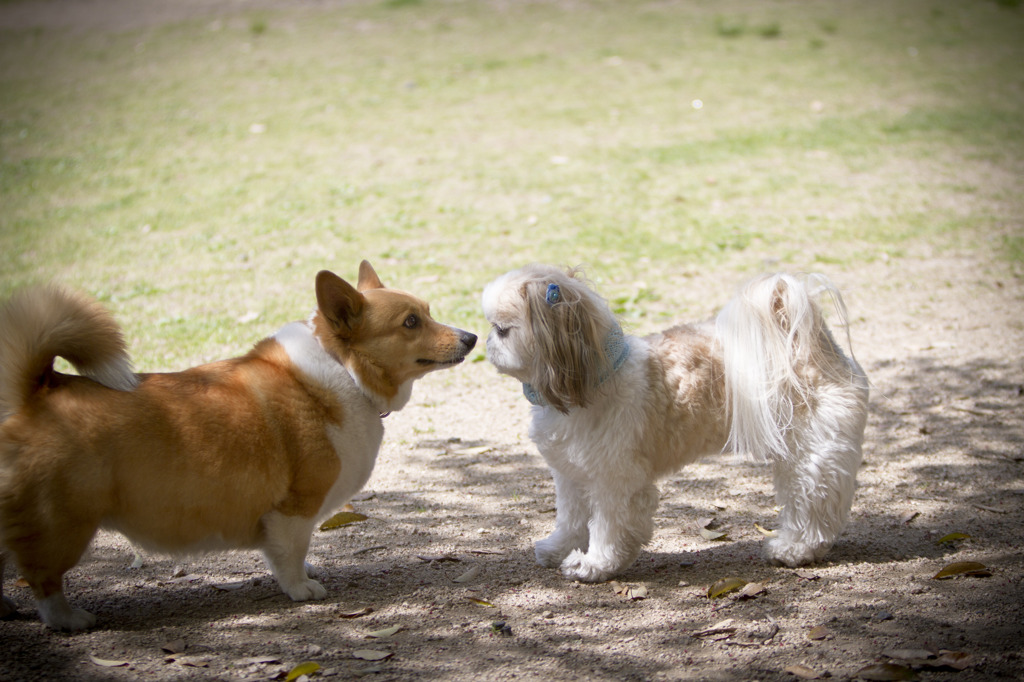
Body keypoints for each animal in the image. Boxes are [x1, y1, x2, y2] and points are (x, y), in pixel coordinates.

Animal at [0, 260, 475, 626]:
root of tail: (37, 391)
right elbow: (290, 554)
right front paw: (302, 588)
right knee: (44, 580)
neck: (345, 369)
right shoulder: (294, 509)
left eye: (428, 311)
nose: (471, 337)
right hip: (65, 525)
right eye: (410, 322)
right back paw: (69, 620)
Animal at [483, 264, 868, 577]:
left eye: (502, 330)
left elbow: (609, 527)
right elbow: (571, 518)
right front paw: (559, 547)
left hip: (811, 456)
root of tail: (812, 347)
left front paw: (594, 563)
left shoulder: (615, 481)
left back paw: (795, 548)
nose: (487, 342)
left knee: (813, 504)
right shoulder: (570, 475)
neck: (595, 377)